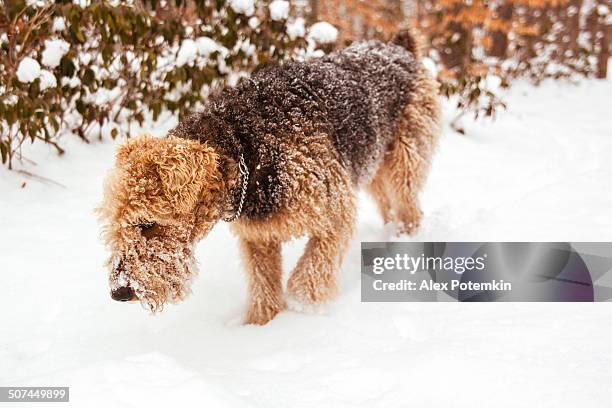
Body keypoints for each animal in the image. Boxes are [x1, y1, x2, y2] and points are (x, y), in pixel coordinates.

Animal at [100, 31, 442, 326]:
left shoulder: (335, 213)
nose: (119, 292)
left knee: (410, 209)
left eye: (147, 224)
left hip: (404, 161)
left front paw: (302, 312)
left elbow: (309, 275)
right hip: (374, 167)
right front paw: (259, 327)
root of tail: (399, 47)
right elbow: (264, 289)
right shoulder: (258, 239)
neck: (243, 150)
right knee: (390, 207)